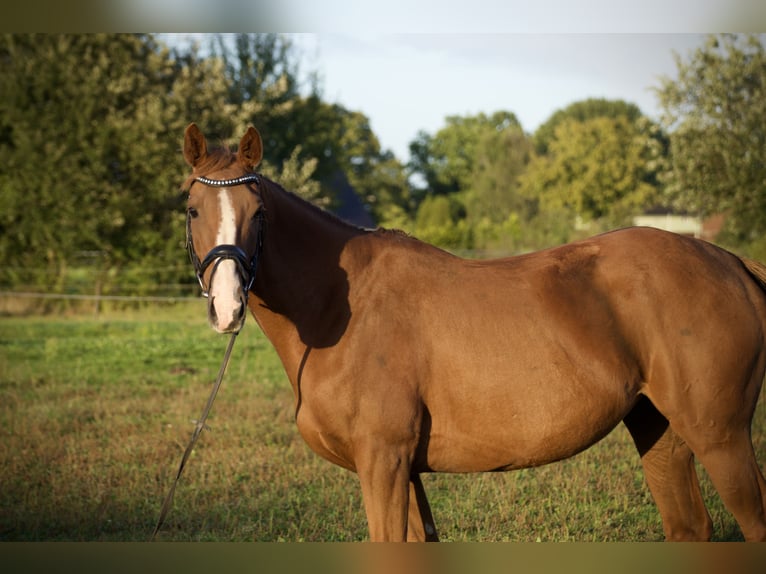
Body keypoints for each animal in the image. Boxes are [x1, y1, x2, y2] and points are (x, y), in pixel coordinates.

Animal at [182, 124, 766, 544]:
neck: (337, 309)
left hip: (721, 436)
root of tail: (731, 262)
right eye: (192, 210)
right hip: (661, 430)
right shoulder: (404, 470)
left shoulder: (383, 462)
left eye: (259, 211)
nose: (228, 306)